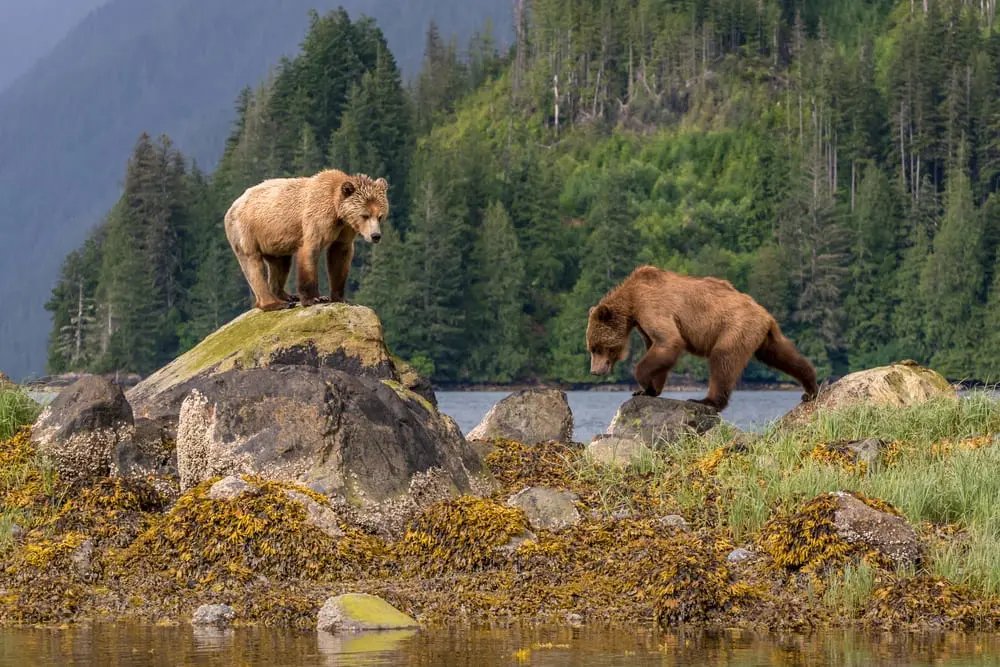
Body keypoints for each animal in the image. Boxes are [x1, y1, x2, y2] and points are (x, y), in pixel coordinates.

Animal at [224, 169, 390, 311]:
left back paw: (288, 296)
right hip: (247, 231)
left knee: (281, 264)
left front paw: (340, 298)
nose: (375, 236)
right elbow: (310, 251)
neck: (337, 212)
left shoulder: (345, 230)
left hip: (274, 241)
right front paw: (314, 298)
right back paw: (274, 303)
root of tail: (232, 206)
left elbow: (339, 256)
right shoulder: (317, 217)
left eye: (380, 216)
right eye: (365, 215)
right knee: (253, 265)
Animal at [586, 265, 819, 411]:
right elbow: (658, 348)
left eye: (597, 347)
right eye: (591, 348)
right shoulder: (642, 323)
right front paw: (648, 390)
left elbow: (669, 341)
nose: (595, 371)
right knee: (783, 355)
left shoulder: (651, 306)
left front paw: (642, 382)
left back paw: (706, 400)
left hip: (735, 327)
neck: (631, 301)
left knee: (723, 360)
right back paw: (811, 387)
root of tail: (765, 314)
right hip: (762, 335)